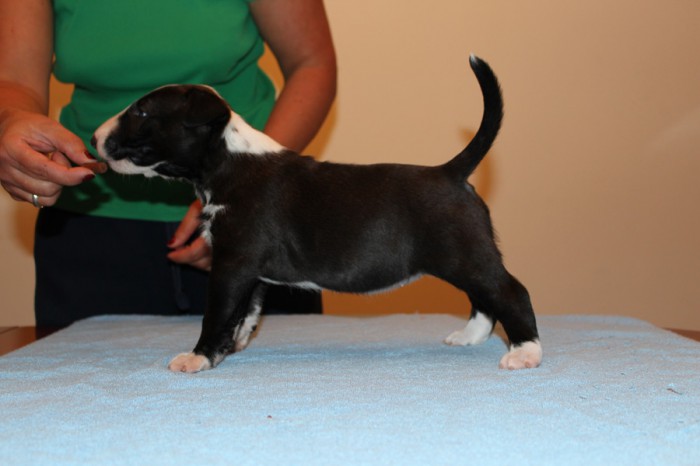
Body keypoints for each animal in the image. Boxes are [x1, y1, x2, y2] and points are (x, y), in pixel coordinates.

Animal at [92, 55, 542, 373]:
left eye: (142, 112)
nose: (94, 137)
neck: (229, 160)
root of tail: (451, 171)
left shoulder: (231, 264)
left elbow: (217, 313)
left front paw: (198, 357)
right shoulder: (251, 272)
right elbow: (245, 313)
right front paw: (229, 348)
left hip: (465, 253)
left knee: (510, 292)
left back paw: (525, 353)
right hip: (464, 257)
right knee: (484, 298)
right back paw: (469, 336)